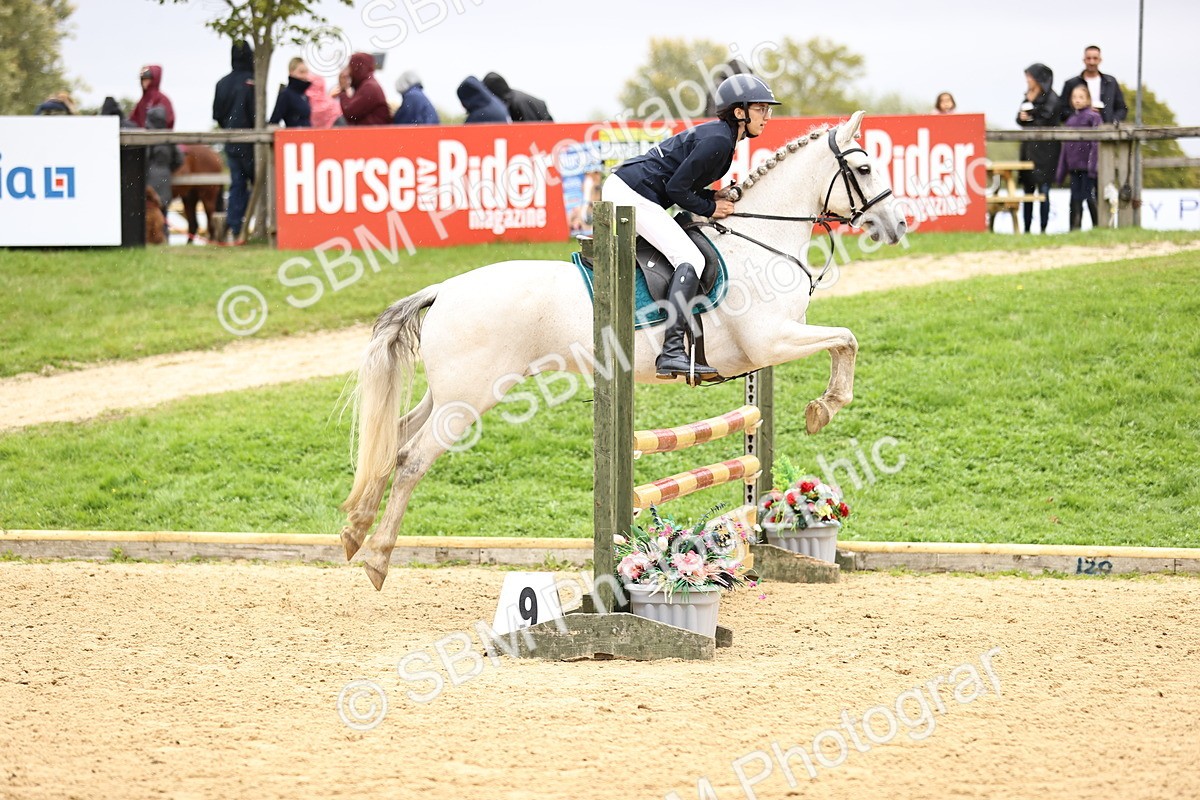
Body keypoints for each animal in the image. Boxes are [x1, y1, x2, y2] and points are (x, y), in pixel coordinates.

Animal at [341, 110, 907, 589]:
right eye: (863, 166)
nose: (898, 226)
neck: (759, 240)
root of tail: (444, 289)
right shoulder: (772, 340)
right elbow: (847, 340)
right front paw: (823, 409)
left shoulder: (770, 348)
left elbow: (841, 344)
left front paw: (820, 409)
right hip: (468, 398)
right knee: (412, 459)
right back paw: (376, 558)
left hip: (448, 393)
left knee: (393, 438)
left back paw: (353, 531)